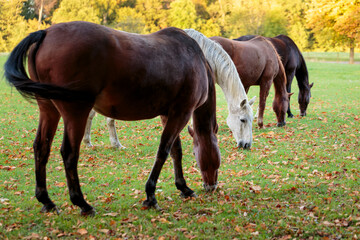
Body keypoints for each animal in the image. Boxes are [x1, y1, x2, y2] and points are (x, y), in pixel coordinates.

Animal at [4, 21, 221, 216]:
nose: (212, 186)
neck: (193, 57)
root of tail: (46, 33)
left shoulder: (168, 114)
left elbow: (176, 151)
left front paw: (183, 187)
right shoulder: (181, 113)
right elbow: (164, 151)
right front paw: (151, 195)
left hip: (49, 110)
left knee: (42, 148)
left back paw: (47, 201)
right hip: (76, 113)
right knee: (69, 154)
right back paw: (82, 203)